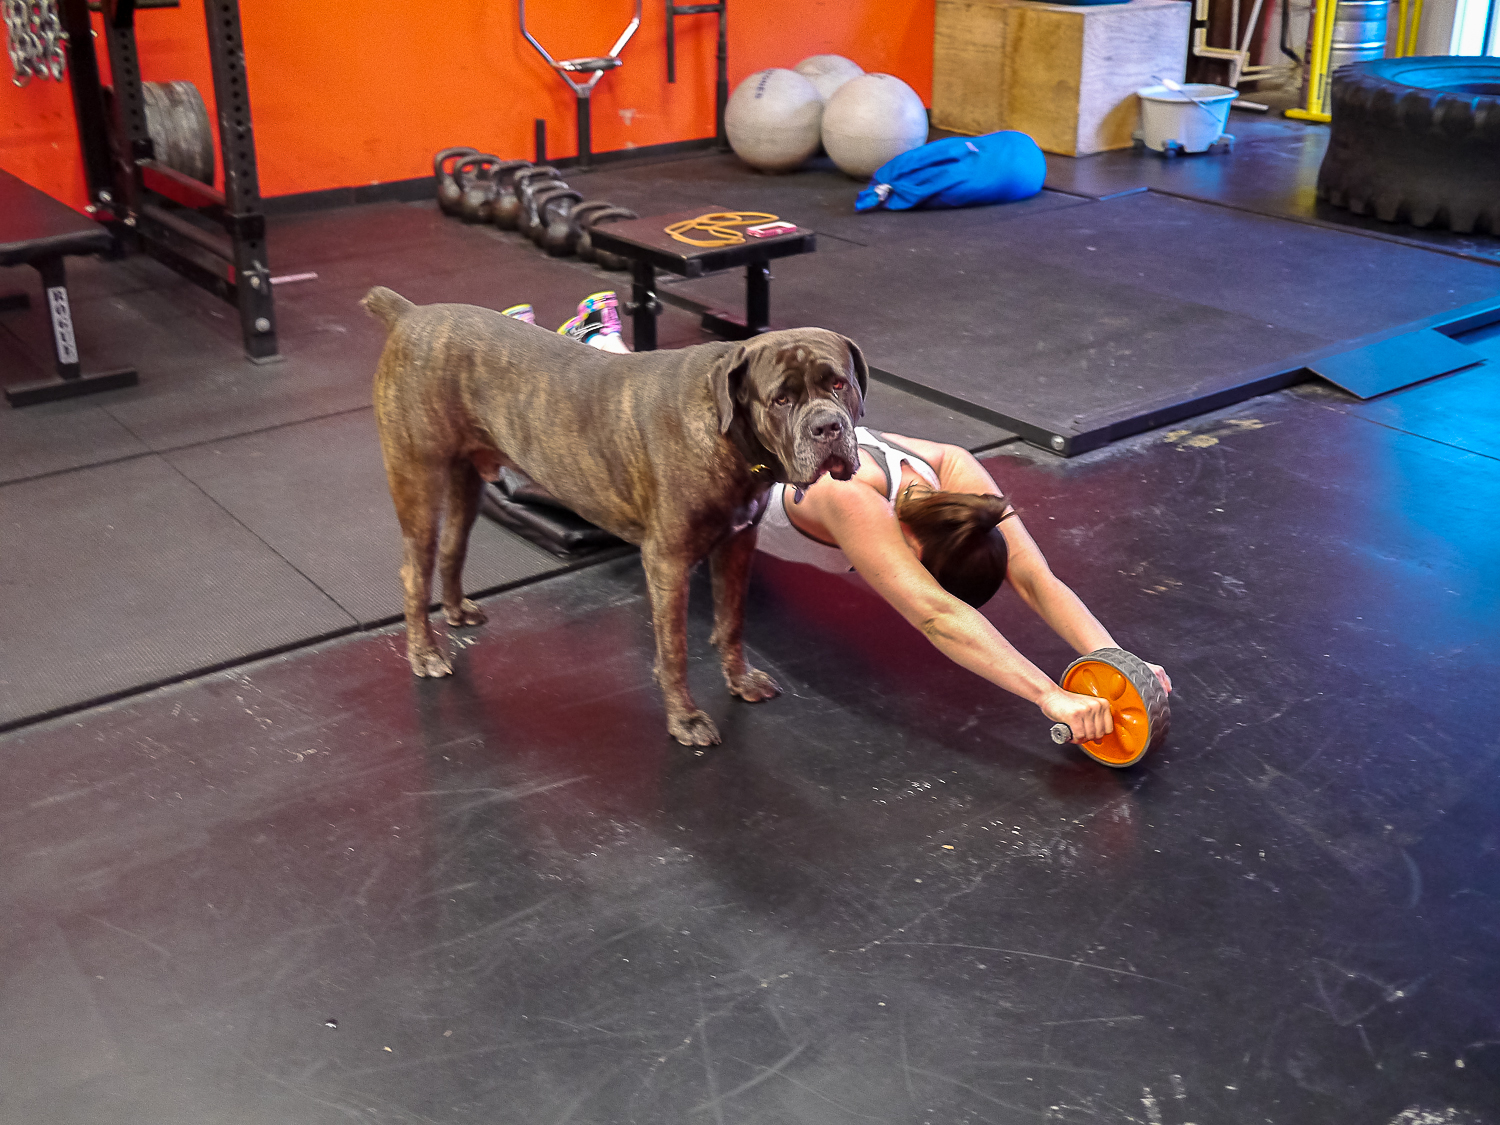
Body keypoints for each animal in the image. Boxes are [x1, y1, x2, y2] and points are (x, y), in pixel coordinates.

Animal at [363, 287, 867, 746]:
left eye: (839, 384)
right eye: (780, 400)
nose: (827, 427)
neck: (729, 433)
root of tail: (408, 314)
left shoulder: (737, 545)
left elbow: (731, 622)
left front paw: (740, 680)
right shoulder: (667, 563)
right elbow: (674, 648)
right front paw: (685, 719)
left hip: (465, 482)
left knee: (453, 547)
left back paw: (455, 612)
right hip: (418, 483)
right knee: (415, 572)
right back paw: (425, 654)